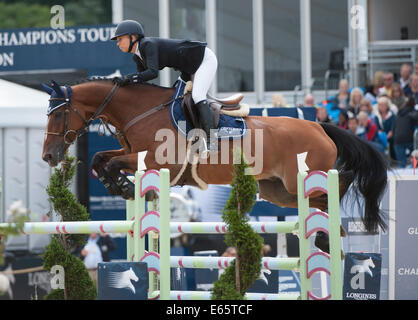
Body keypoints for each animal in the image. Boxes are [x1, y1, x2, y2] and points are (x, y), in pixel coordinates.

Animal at [41, 79, 388, 254]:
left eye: (58, 114)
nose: (49, 156)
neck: (140, 110)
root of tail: (320, 126)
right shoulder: (133, 153)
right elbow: (101, 159)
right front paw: (120, 185)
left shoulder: (160, 161)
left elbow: (111, 161)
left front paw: (123, 185)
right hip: (277, 191)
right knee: (320, 201)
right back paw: (331, 236)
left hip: (299, 179)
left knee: (340, 183)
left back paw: (334, 231)